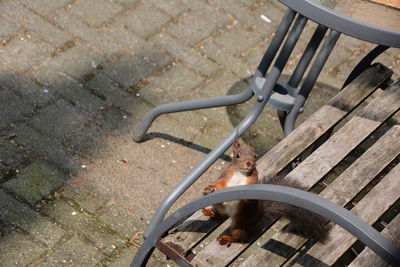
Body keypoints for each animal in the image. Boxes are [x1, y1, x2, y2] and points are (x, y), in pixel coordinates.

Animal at [202, 140, 330, 247]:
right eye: (237, 155)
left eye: (255, 156)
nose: (249, 163)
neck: (240, 174)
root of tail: (260, 214)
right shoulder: (225, 177)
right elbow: (219, 184)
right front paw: (209, 188)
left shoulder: (253, 181)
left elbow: (250, 198)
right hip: (219, 205)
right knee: (221, 216)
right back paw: (211, 212)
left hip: (240, 224)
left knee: (239, 236)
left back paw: (228, 238)